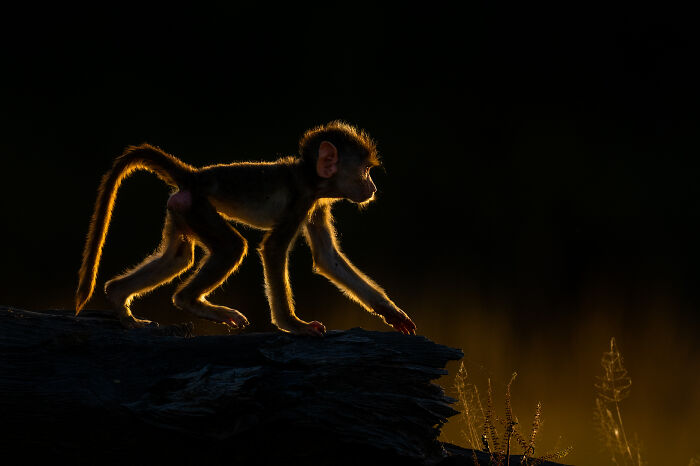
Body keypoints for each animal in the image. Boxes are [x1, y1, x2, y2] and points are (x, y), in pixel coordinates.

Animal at [75, 121, 416, 337]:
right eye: (365, 171)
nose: (372, 187)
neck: (310, 176)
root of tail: (193, 176)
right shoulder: (301, 200)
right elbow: (273, 249)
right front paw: (294, 325)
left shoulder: (317, 205)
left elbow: (328, 259)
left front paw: (391, 312)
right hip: (198, 207)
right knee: (231, 248)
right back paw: (189, 302)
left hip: (182, 209)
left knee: (178, 258)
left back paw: (119, 299)